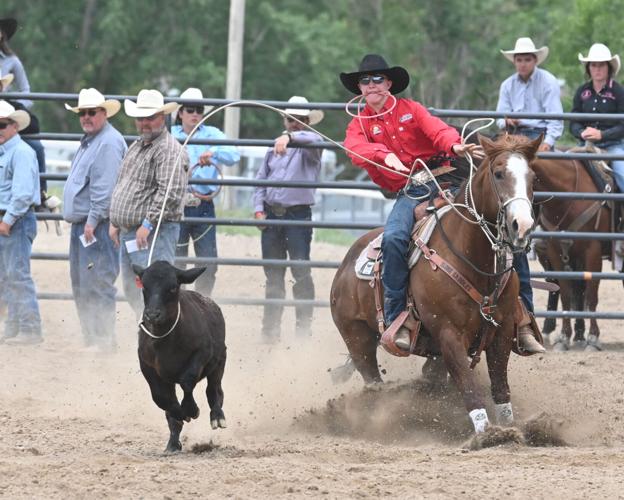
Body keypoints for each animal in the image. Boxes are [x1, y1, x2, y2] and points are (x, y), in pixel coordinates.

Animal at [132, 262, 227, 454]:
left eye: (172, 287)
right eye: (145, 286)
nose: (152, 315)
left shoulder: (201, 353)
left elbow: (187, 381)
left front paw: (191, 409)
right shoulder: (147, 366)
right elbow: (161, 398)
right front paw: (179, 414)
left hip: (219, 361)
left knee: (214, 390)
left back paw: (217, 416)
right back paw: (173, 443)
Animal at [332, 134, 540, 434]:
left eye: (533, 177)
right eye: (499, 174)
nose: (521, 226)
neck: (471, 256)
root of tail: (345, 264)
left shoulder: (502, 331)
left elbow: (500, 387)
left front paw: (510, 429)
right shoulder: (449, 334)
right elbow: (469, 387)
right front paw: (485, 434)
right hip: (357, 338)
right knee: (372, 381)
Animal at [532, 157, 616, 352]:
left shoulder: (592, 252)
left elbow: (591, 296)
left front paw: (592, 338)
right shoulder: (555, 252)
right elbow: (565, 294)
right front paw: (564, 338)